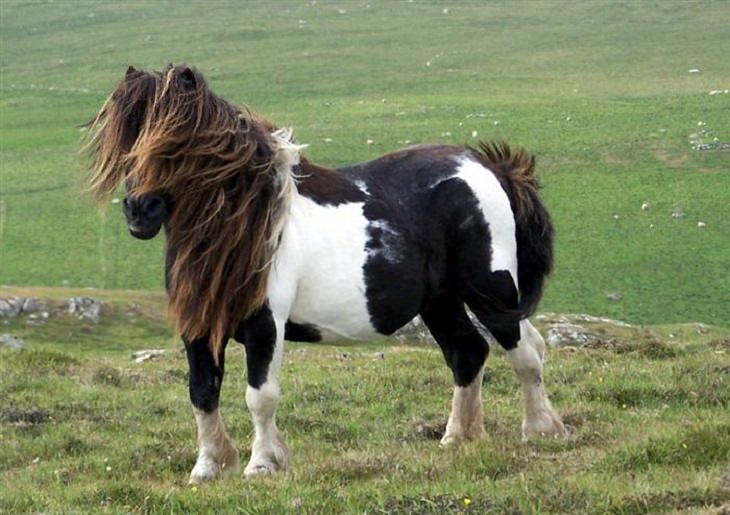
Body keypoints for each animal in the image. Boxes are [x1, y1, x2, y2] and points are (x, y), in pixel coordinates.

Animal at [86, 64, 564, 484]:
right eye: (127, 136)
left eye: (175, 143)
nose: (139, 212)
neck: (247, 229)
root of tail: (489, 168)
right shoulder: (199, 326)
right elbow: (202, 393)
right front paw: (208, 467)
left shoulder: (265, 326)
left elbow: (260, 397)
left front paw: (263, 464)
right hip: (440, 302)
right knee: (468, 353)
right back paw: (457, 438)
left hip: (491, 293)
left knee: (524, 354)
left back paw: (540, 430)